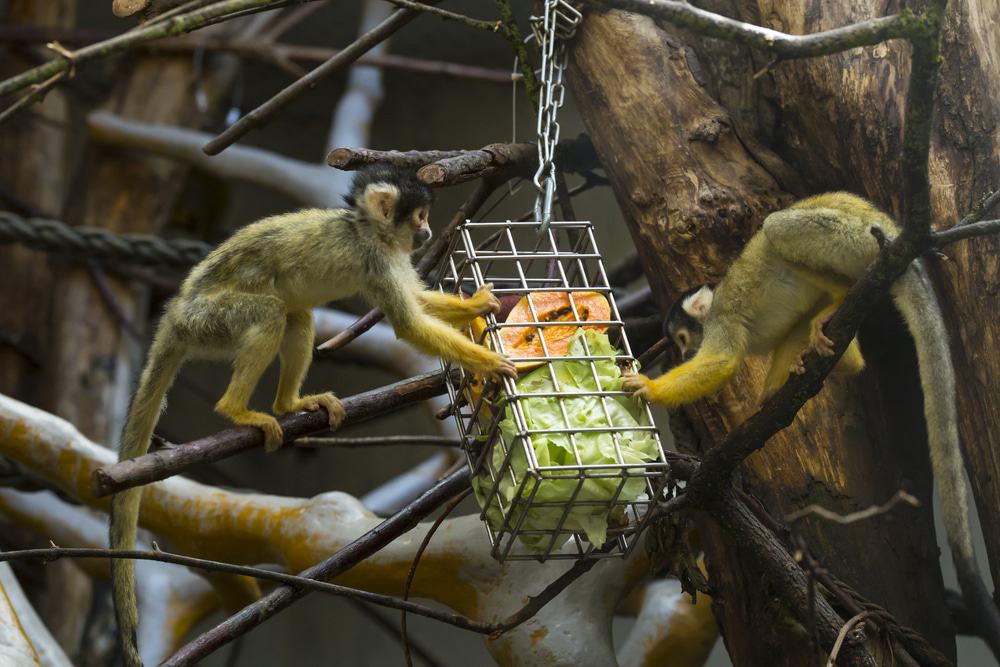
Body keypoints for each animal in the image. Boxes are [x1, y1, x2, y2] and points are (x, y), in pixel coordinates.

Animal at [111, 163, 516, 667]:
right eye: (420, 216)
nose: (425, 233)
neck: (366, 230)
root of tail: (174, 315)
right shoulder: (374, 257)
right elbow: (408, 323)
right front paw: (491, 363)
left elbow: (418, 303)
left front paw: (475, 306)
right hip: (211, 322)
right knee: (270, 313)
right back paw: (237, 410)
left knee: (296, 316)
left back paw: (289, 406)